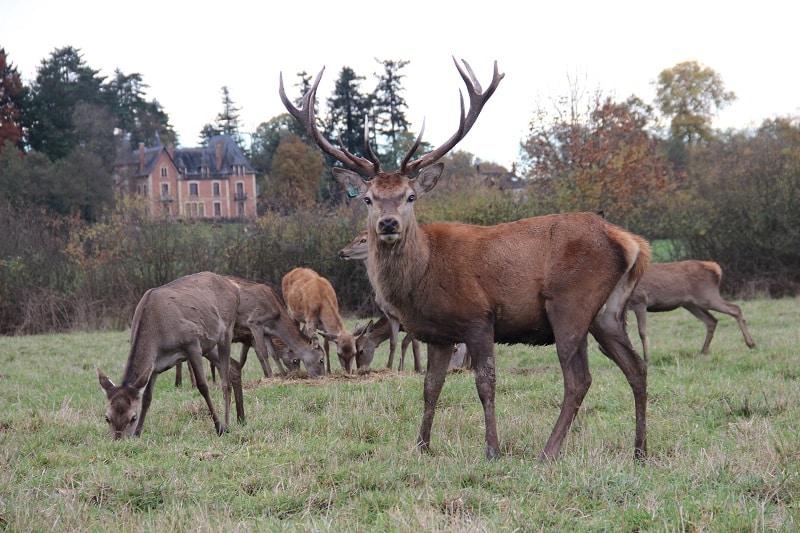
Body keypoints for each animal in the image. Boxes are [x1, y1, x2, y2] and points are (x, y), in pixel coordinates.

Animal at [96, 272, 242, 438]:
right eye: (107, 417)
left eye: (132, 417)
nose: (119, 440)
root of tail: (234, 287)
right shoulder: (154, 366)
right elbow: (147, 398)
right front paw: (138, 434)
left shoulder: (192, 342)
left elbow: (203, 385)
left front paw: (219, 427)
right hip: (209, 346)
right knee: (234, 366)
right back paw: (241, 418)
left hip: (227, 331)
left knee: (225, 381)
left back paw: (228, 423)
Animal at [280, 56, 648, 460]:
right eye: (368, 198)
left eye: (410, 196)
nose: (388, 223)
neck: (422, 276)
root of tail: (630, 242)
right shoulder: (439, 334)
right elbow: (430, 387)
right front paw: (421, 446)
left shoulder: (479, 318)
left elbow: (485, 384)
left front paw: (492, 449)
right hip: (607, 313)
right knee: (637, 367)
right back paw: (639, 451)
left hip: (570, 303)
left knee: (579, 378)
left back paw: (548, 452)